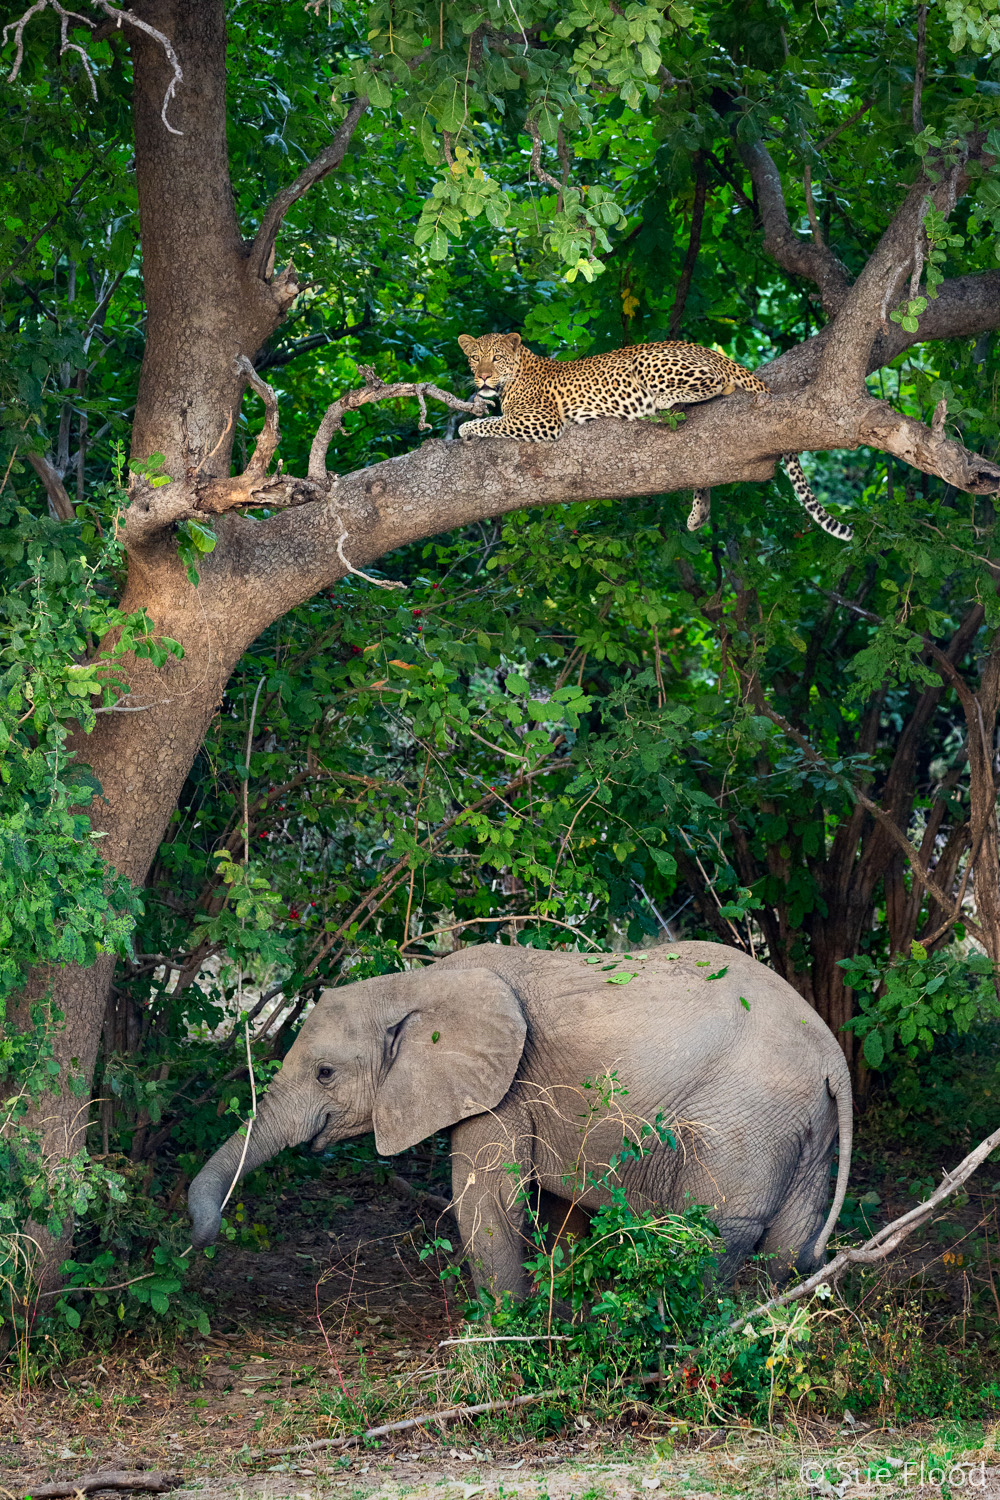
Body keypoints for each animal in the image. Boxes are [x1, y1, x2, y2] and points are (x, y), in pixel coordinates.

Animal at [187, 936, 851, 1302]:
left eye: (325, 1073)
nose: (203, 1236)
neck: (420, 981)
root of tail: (830, 1051)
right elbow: (557, 1213)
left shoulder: (505, 1089)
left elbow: (486, 1203)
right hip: (805, 1126)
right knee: (787, 1244)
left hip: (745, 1121)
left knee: (710, 1229)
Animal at [458, 331, 857, 543]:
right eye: (475, 358)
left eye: (496, 358)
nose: (482, 377)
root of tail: (708, 350)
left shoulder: (542, 420)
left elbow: (494, 422)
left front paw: (466, 429)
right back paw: (699, 512)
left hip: (651, 362)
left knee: (718, 384)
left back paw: (660, 401)